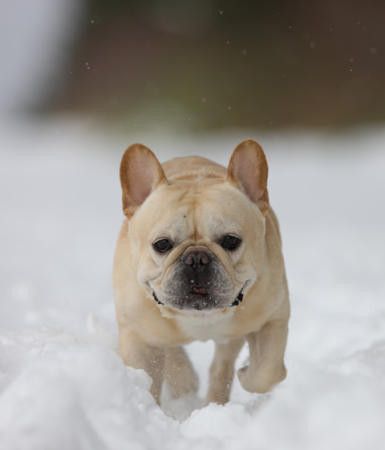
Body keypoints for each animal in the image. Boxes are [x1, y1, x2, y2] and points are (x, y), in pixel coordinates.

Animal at [112, 140, 290, 404]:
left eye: (231, 240)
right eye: (161, 244)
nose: (197, 259)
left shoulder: (273, 318)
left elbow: (267, 372)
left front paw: (247, 373)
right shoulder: (138, 337)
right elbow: (146, 382)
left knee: (222, 365)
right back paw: (184, 381)